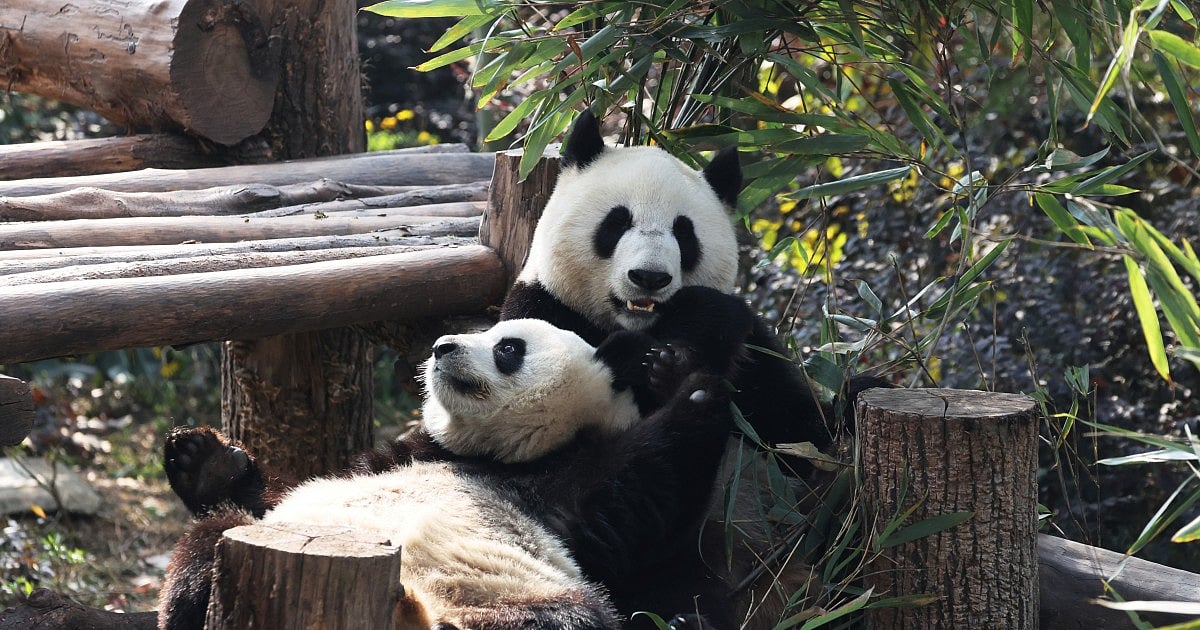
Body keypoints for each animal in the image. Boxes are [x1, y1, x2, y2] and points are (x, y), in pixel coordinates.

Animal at [159, 318, 744, 630]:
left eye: (508, 347)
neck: (496, 456)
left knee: (568, 616)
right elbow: (279, 492)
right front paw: (204, 462)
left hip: (512, 590)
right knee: (206, 545)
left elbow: (646, 485)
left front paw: (690, 383)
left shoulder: (573, 492)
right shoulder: (401, 454)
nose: (442, 348)